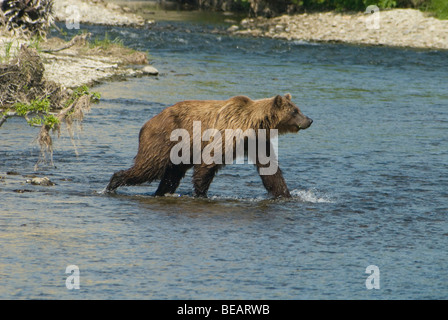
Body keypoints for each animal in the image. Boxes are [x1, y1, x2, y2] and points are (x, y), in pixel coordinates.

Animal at [106, 94, 312, 198]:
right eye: (295, 111)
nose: (309, 120)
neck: (253, 125)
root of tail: (146, 124)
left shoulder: (257, 142)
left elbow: (270, 170)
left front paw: (285, 194)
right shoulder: (226, 135)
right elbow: (208, 163)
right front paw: (202, 194)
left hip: (181, 151)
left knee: (172, 174)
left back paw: (161, 192)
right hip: (163, 140)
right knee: (149, 167)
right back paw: (112, 184)